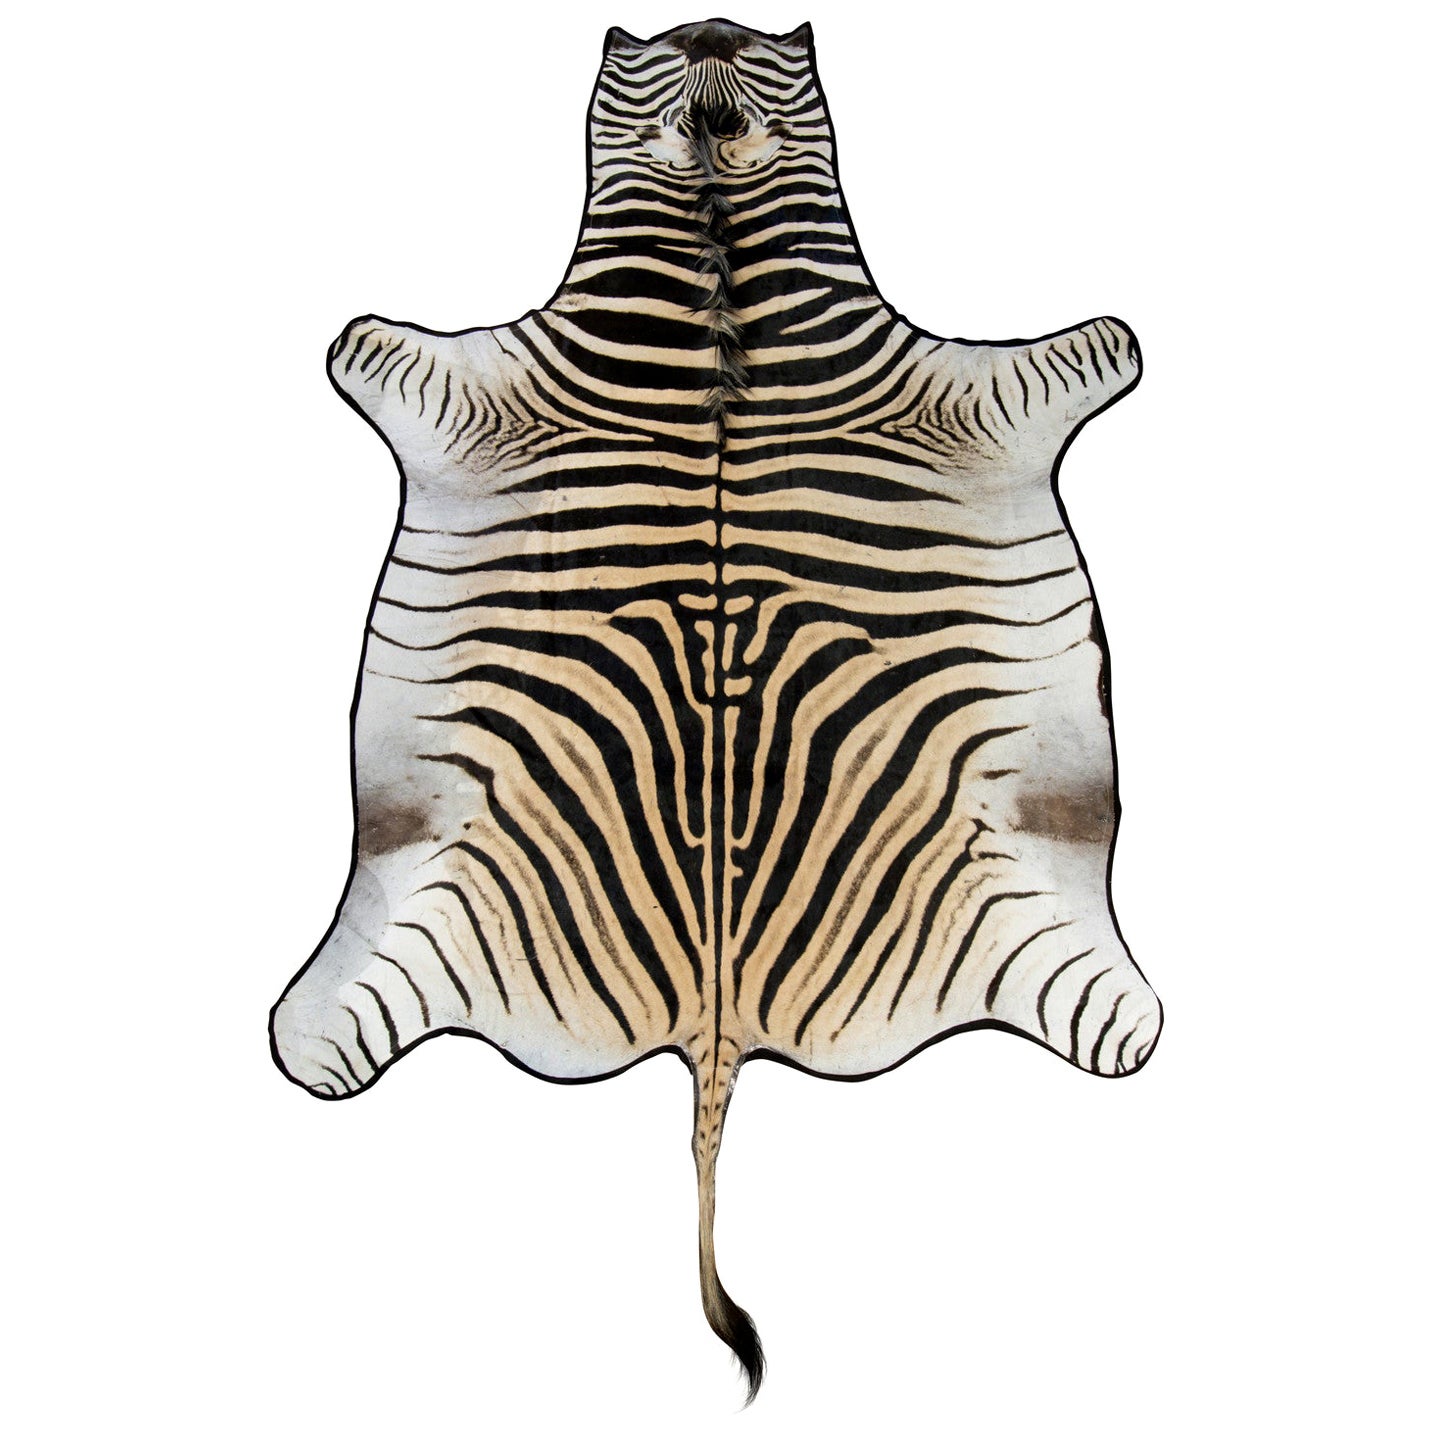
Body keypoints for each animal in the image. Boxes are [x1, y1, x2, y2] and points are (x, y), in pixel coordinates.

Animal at [270, 17, 1162, 1399]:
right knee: (328, 1036)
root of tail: (715, 1017)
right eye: (637, 58)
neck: (716, 259)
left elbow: (1089, 346)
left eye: (776, 63)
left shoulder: (973, 389)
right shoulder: (460, 381)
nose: (709, 26)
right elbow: (371, 343)